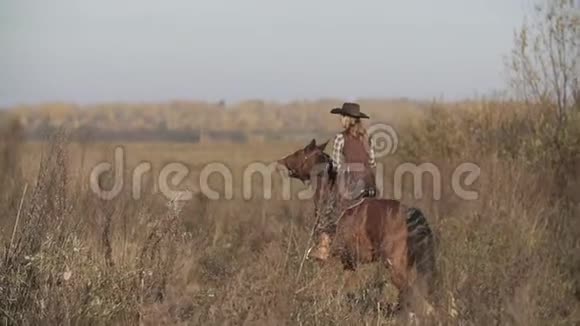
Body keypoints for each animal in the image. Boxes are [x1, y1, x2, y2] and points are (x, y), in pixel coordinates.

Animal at [276, 139, 436, 314]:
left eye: (300, 152)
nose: (282, 160)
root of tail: (410, 214)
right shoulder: (349, 263)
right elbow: (343, 287)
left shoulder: (331, 258)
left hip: (396, 266)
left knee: (413, 295)